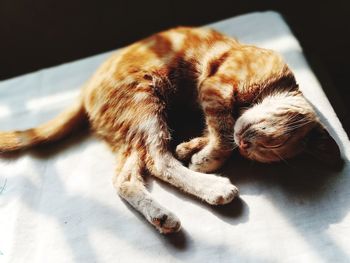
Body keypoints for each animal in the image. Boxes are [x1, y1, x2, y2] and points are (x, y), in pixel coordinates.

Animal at [0, 26, 340, 233]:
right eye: (266, 140)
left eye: (260, 152)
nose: (245, 144)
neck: (274, 84)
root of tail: (85, 90)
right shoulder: (214, 88)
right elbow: (222, 132)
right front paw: (207, 158)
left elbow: (216, 132)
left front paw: (193, 147)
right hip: (146, 103)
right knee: (158, 160)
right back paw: (213, 189)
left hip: (132, 131)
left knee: (126, 178)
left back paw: (161, 216)